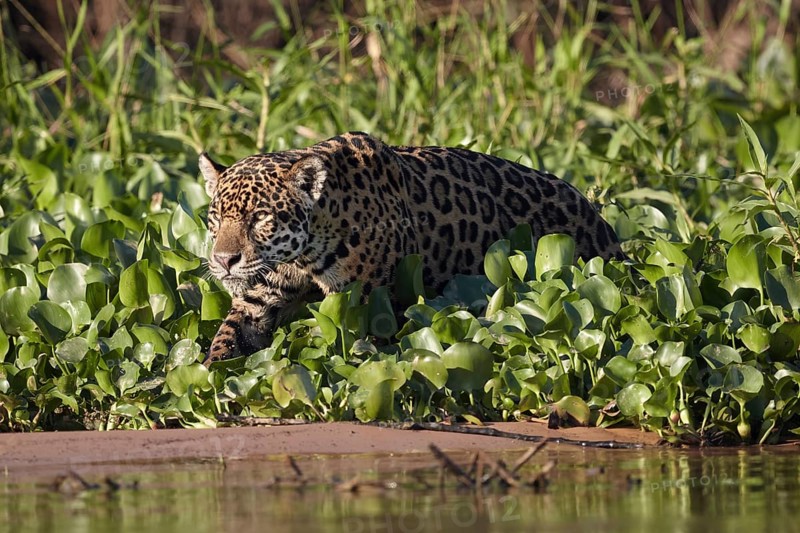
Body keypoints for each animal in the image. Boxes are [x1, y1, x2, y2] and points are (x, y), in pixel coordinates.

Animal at [199, 132, 624, 365]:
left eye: (260, 218)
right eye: (216, 217)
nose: (223, 260)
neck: (306, 253)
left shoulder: (366, 308)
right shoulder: (260, 299)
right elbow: (226, 340)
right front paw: (210, 373)